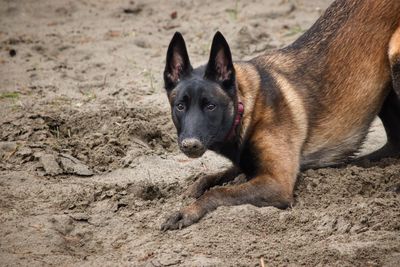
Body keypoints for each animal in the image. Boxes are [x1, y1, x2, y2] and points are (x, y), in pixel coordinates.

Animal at [160, 0, 400, 232]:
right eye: (180, 106)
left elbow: (218, 192)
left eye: (210, 106)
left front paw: (187, 211)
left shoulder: (276, 183)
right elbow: (210, 177)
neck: (246, 106)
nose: (190, 145)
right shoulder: (248, 165)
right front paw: (194, 189)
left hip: (395, 57)